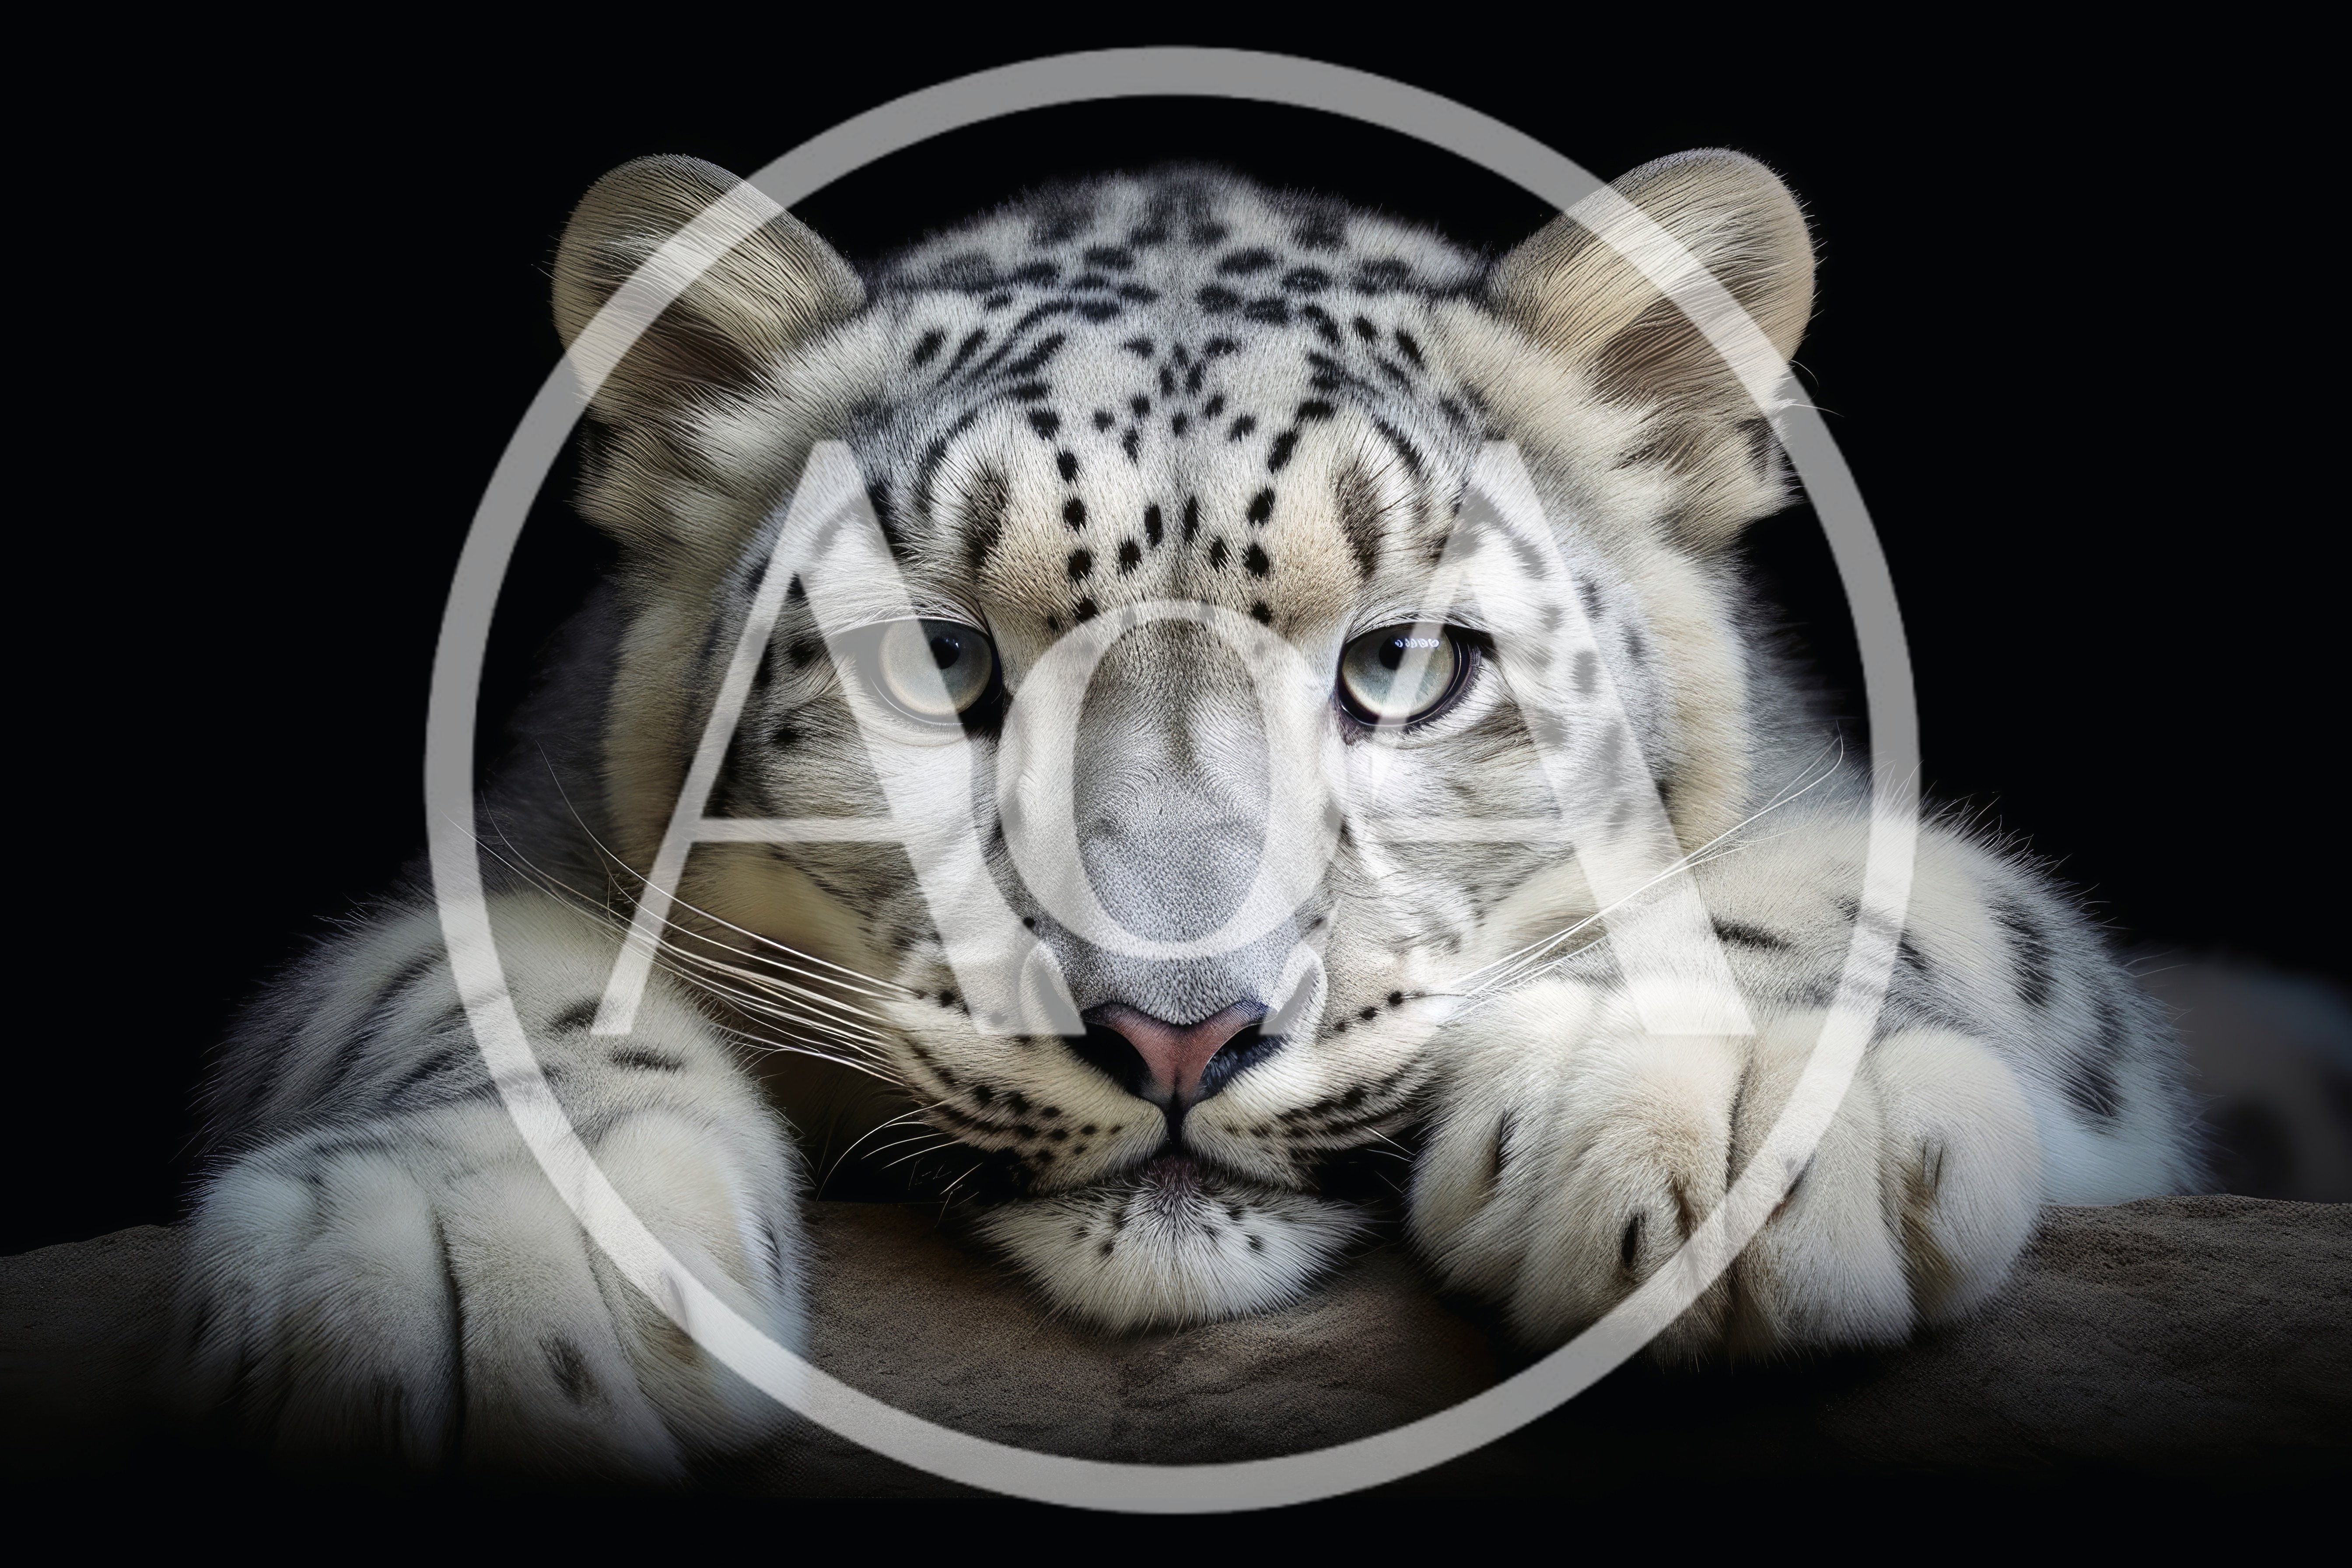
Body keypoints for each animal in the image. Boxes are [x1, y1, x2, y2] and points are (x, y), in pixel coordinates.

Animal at [176, 149, 2204, 1480]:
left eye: (1403, 664)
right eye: (938, 657)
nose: (1175, 1028)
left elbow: (1934, 902)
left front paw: (1719, 1109)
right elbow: (433, 982)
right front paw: (461, 1243)